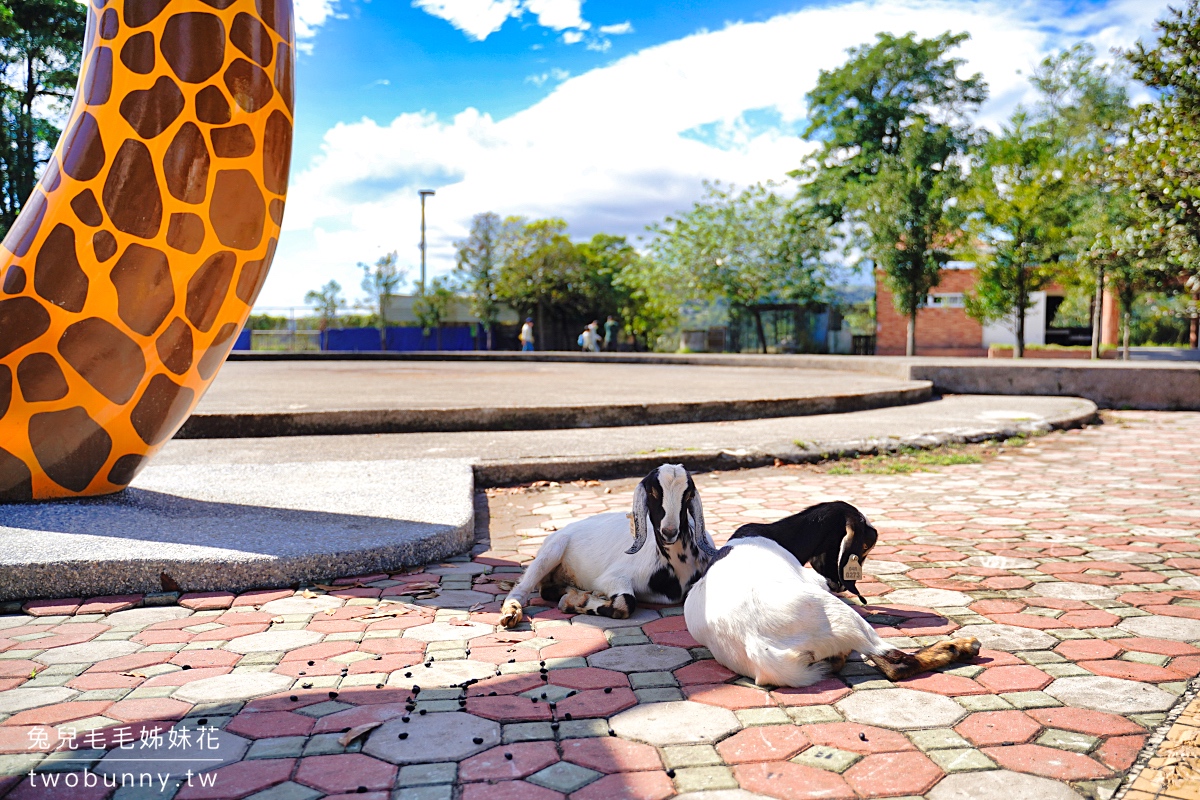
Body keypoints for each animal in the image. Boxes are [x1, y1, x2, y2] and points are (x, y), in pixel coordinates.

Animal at [499, 462, 715, 633]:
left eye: (687, 495)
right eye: (653, 492)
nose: (669, 532)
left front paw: (576, 599)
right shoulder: (610, 578)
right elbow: (625, 602)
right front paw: (574, 602)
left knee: (547, 590)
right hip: (551, 551)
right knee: (523, 588)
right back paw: (512, 613)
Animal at [686, 503, 974, 690]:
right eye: (867, 545)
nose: (840, 584)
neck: (771, 534)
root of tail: (761, 650)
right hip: (844, 618)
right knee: (894, 661)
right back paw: (959, 646)